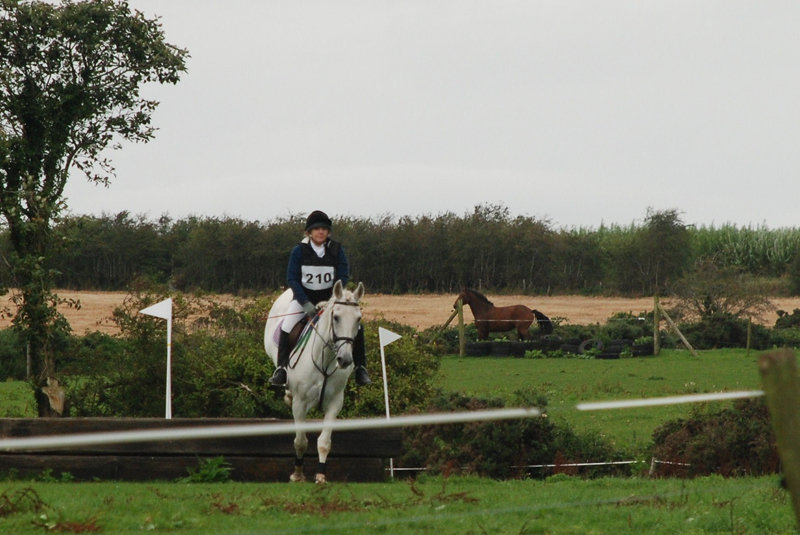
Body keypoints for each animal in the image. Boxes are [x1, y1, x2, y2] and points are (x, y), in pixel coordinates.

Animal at [264, 280, 365, 483]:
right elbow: (300, 441)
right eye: (336, 317)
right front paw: (297, 474)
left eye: (358, 319)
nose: (345, 359)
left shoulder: (335, 403)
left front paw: (320, 475)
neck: (325, 359)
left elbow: (324, 442)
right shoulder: (300, 403)